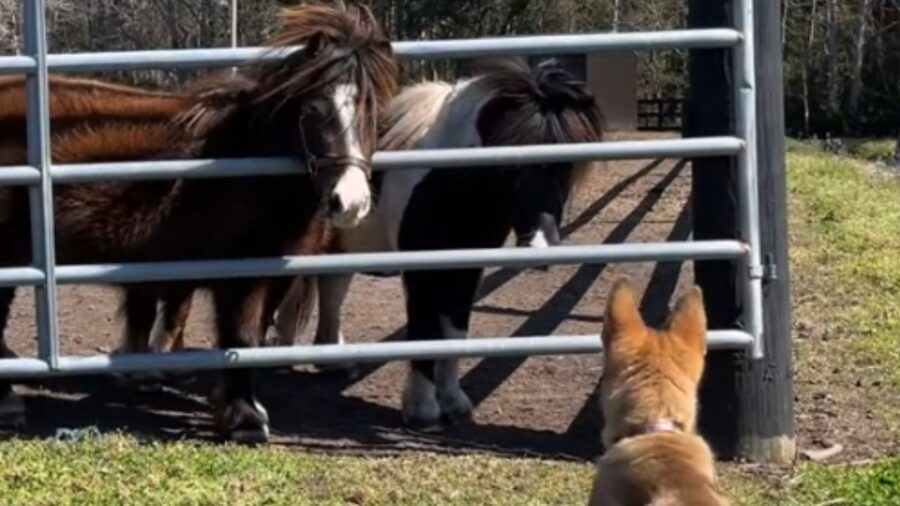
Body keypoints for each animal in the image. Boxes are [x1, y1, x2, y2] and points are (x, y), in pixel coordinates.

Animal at [0, 1, 398, 442]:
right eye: (314, 110)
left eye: (374, 110)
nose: (351, 202)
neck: (242, 165)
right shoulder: (236, 277)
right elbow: (241, 335)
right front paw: (244, 420)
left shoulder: (270, 275)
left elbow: (250, 340)